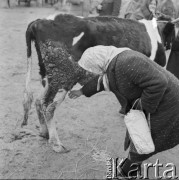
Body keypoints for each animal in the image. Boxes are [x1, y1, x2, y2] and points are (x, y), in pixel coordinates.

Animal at [22, 13, 166, 152]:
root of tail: (39, 21)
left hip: (49, 77)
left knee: (39, 101)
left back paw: (44, 133)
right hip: (63, 78)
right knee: (48, 106)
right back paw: (56, 144)